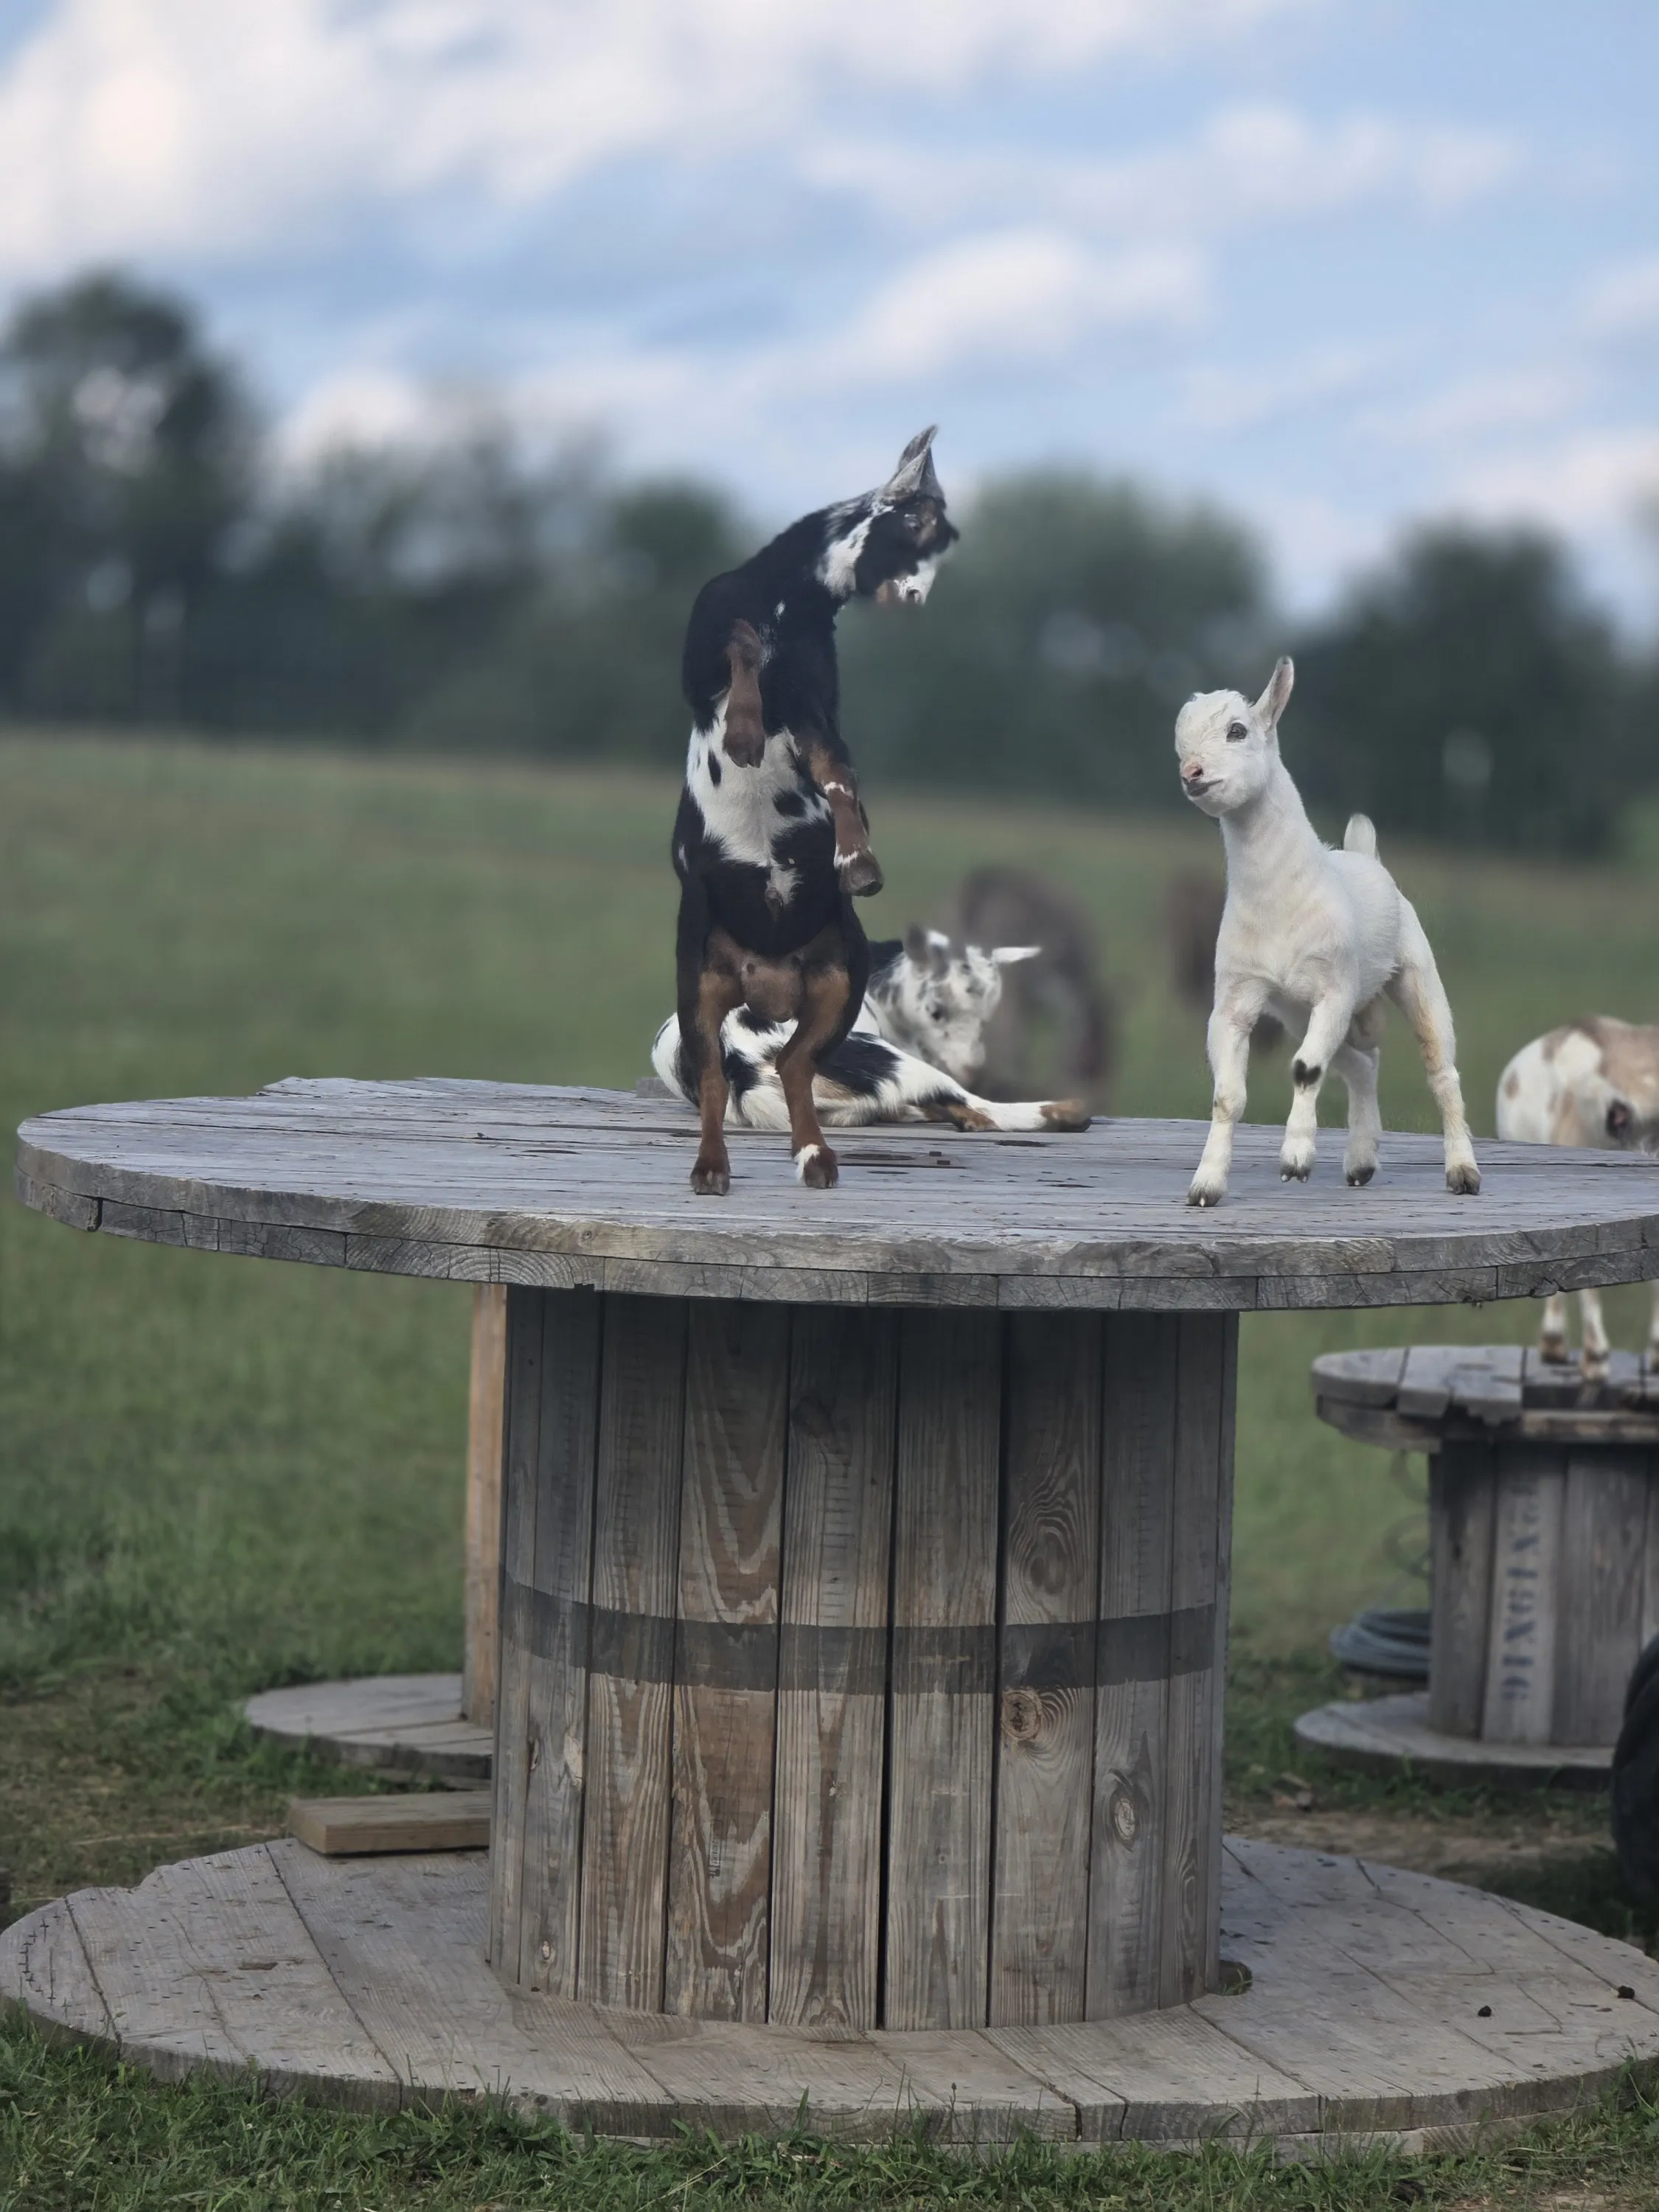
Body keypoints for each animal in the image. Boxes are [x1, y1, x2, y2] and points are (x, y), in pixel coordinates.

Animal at [672, 431, 958, 1193]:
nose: (916, 600)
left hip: (839, 986)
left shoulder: (815, 713)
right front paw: (743, 730)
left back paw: (814, 1155)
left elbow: (837, 774)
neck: (787, 603)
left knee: (797, 1065)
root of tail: (768, 985)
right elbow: (740, 648)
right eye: (916, 525)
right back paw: (711, 1166)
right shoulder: (707, 662)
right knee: (714, 1080)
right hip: (699, 992)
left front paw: (857, 858)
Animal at [1176, 656, 1480, 1207]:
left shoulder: (1334, 987)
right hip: (1301, 1013)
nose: (1192, 774)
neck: (1280, 898)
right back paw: (1360, 1160)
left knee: (1440, 1069)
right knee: (1363, 1066)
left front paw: (1295, 1160)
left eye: (1238, 731)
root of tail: (1363, 853)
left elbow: (1305, 1070)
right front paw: (1206, 1185)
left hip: (1414, 974)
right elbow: (1228, 1096)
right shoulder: (1236, 997)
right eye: (1180, 743)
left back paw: (1462, 1172)